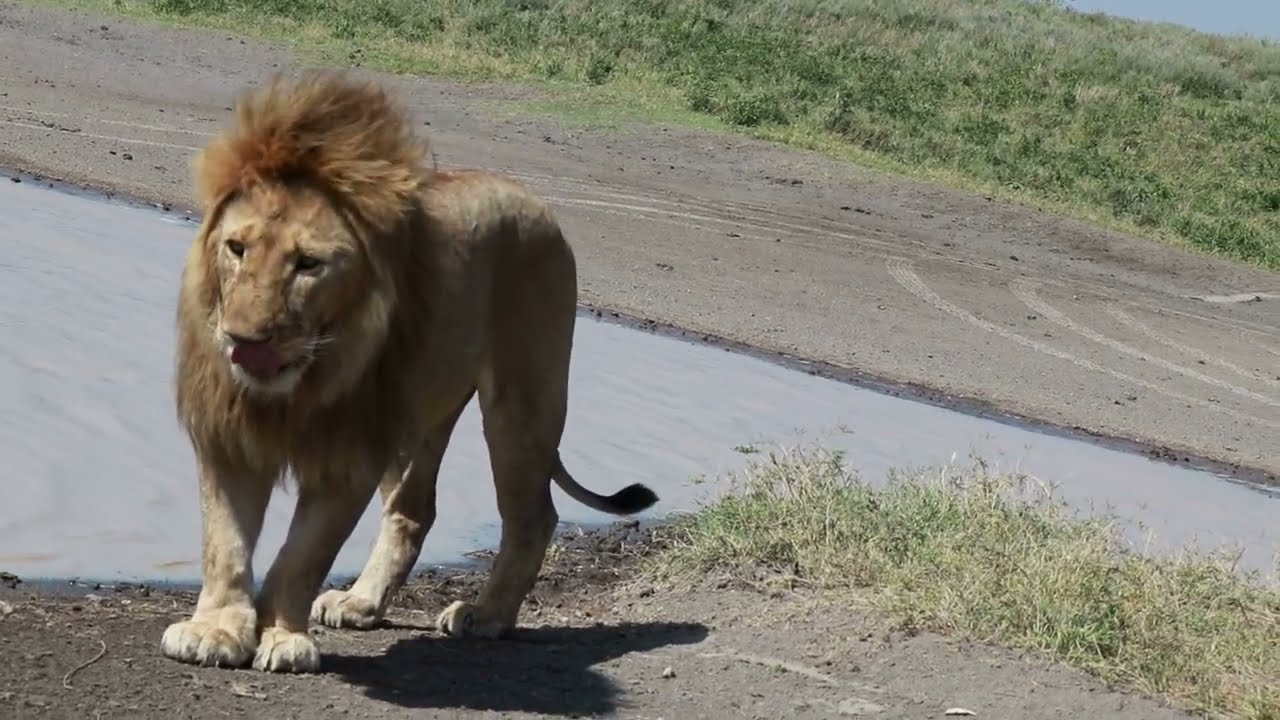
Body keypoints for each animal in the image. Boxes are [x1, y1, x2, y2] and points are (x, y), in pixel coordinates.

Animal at [159, 70, 659, 674]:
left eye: (308, 264)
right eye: (236, 248)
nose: (243, 340)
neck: (303, 383)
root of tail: (540, 206)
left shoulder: (350, 454)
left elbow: (304, 554)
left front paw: (282, 634)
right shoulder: (230, 436)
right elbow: (225, 544)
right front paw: (216, 630)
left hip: (522, 401)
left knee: (534, 515)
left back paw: (486, 614)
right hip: (420, 418)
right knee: (413, 510)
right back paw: (361, 602)